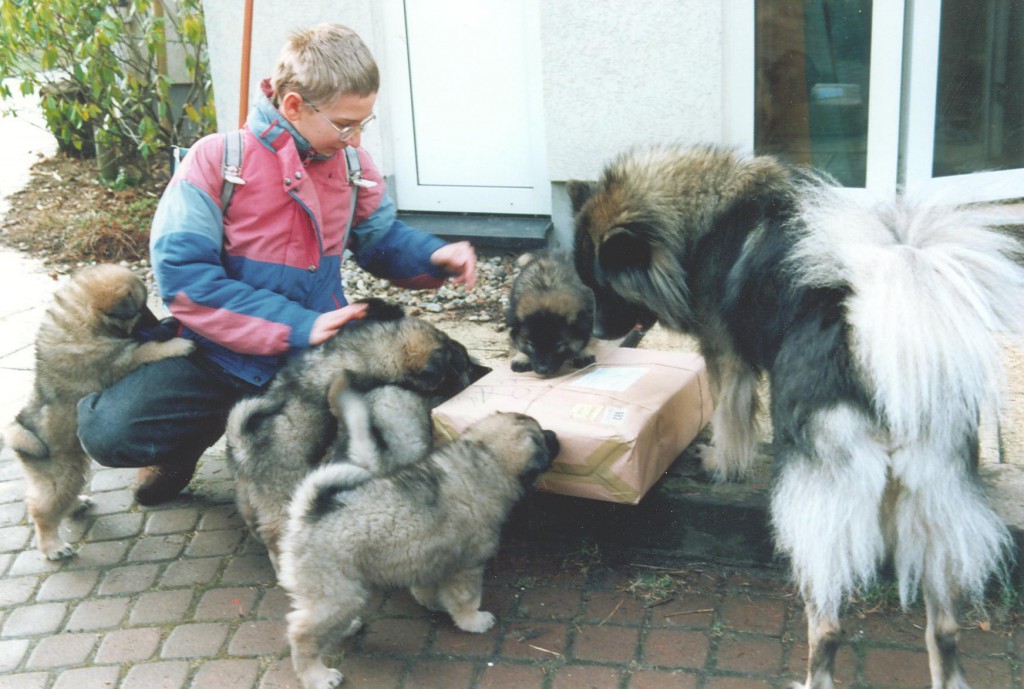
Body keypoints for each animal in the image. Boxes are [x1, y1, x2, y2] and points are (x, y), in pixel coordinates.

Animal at [5, 264, 194, 559]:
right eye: (139, 310)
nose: (169, 321)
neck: (82, 324)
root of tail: (19, 430)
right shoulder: (119, 361)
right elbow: (146, 349)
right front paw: (179, 344)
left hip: (72, 469)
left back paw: (75, 505)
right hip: (60, 474)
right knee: (41, 509)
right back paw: (52, 547)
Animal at [278, 411, 559, 689]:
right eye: (543, 436)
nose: (555, 434)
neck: (484, 459)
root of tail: (306, 517)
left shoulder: (427, 557)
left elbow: (427, 590)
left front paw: (436, 604)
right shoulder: (466, 566)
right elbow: (467, 598)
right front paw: (473, 620)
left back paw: (347, 628)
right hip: (338, 593)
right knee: (302, 634)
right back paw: (319, 676)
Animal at [569, 144, 1024, 689]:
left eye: (605, 287)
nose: (595, 336)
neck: (699, 219)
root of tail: (873, 353)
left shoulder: (725, 356)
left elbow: (728, 419)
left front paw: (719, 464)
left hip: (819, 518)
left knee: (827, 628)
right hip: (934, 506)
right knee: (946, 630)